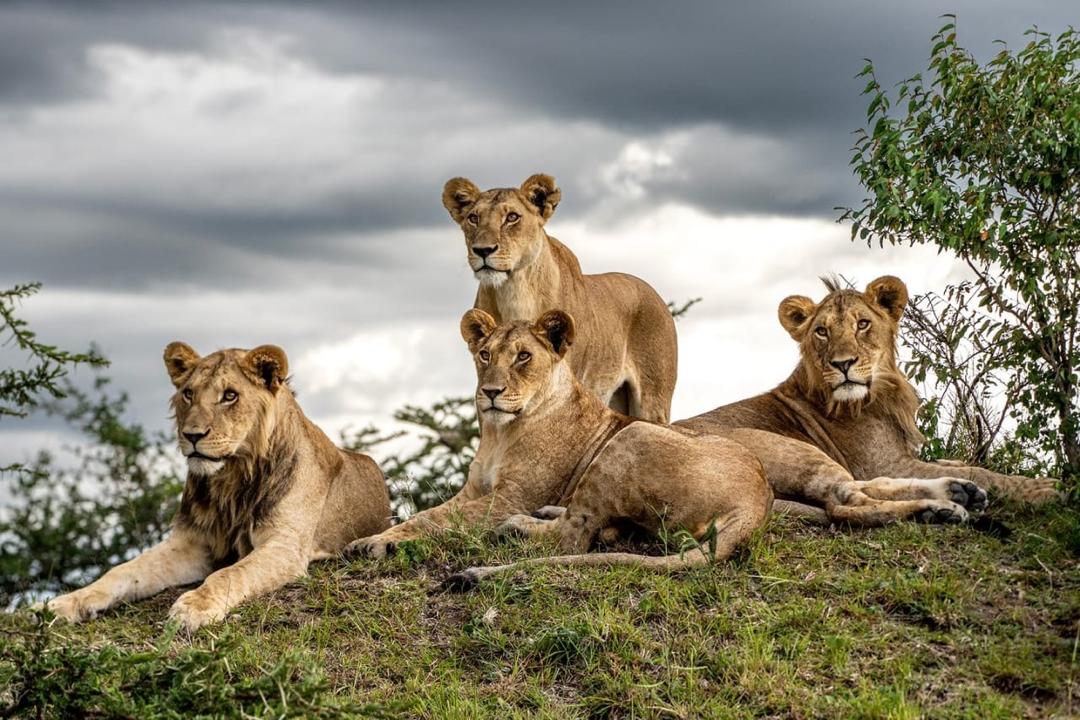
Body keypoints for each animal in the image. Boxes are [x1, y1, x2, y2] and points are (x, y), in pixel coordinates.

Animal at [42, 342, 391, 631]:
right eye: (188, 394)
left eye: (230, 396)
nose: (192, 435)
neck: (231, 479)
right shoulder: (191, 542)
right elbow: (124, 570)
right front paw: (66, 603)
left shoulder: (284, 546)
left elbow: (229, 573)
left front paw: (194, 607)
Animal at [346, 308, 772, 589]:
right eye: (485, 355)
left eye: (523, 356)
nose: (490, 392)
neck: (500, 434)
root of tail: (756, 499)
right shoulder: (475, 490)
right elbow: (429, 514)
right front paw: (379, 537)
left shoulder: (510, 497)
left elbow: (435, 520)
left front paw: (374, 543)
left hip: (631, 436)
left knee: (573, 536)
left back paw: (517, 528)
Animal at [442, 173, 678, 423]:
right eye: (473, 218)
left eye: (512, 217)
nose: (482, 250)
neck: (513, 290)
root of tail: (654, 293)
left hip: (652, 401)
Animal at [676, 275, 1060, 526]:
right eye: (822, 331)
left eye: (862, 324)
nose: (843, 364)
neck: (883, 394)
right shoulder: (885, 462)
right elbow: (982, 470)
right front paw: (1046, 489)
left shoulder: (900, 458)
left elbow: (956, 462)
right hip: (787, 449)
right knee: (842, 502)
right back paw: (945, 506)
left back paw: (953, 496)